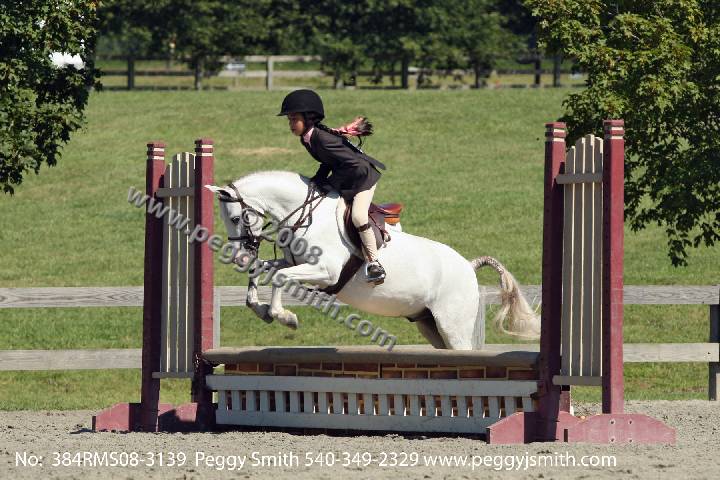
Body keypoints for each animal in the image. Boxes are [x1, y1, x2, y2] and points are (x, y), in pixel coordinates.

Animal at [206, 171, 539, 350]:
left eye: (236, 218)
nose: (240, 256)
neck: (307, 215)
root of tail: (468, 267)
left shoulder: (324, 272)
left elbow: (278, 277)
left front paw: (285, 317)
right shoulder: (297, 265)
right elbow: (264, 271)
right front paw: (261, 309)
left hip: (453, 324)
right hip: (430, 324)